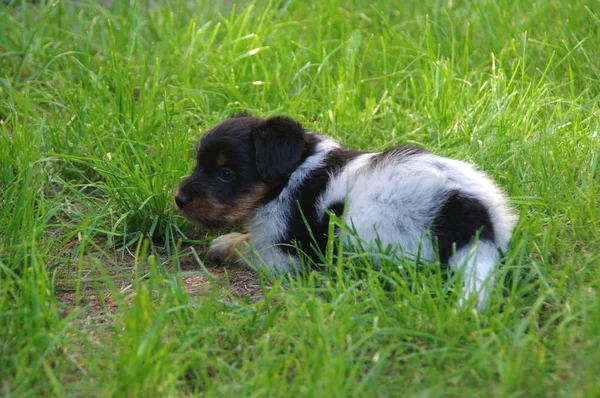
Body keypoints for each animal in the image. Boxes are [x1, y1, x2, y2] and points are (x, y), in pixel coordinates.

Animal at [173, 114, 516, 308]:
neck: (288, 176)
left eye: (225, 174)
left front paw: (223, 244)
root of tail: (470, 212)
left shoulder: (286, 254)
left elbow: (247, 245)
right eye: (198, 163)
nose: (179, 198)